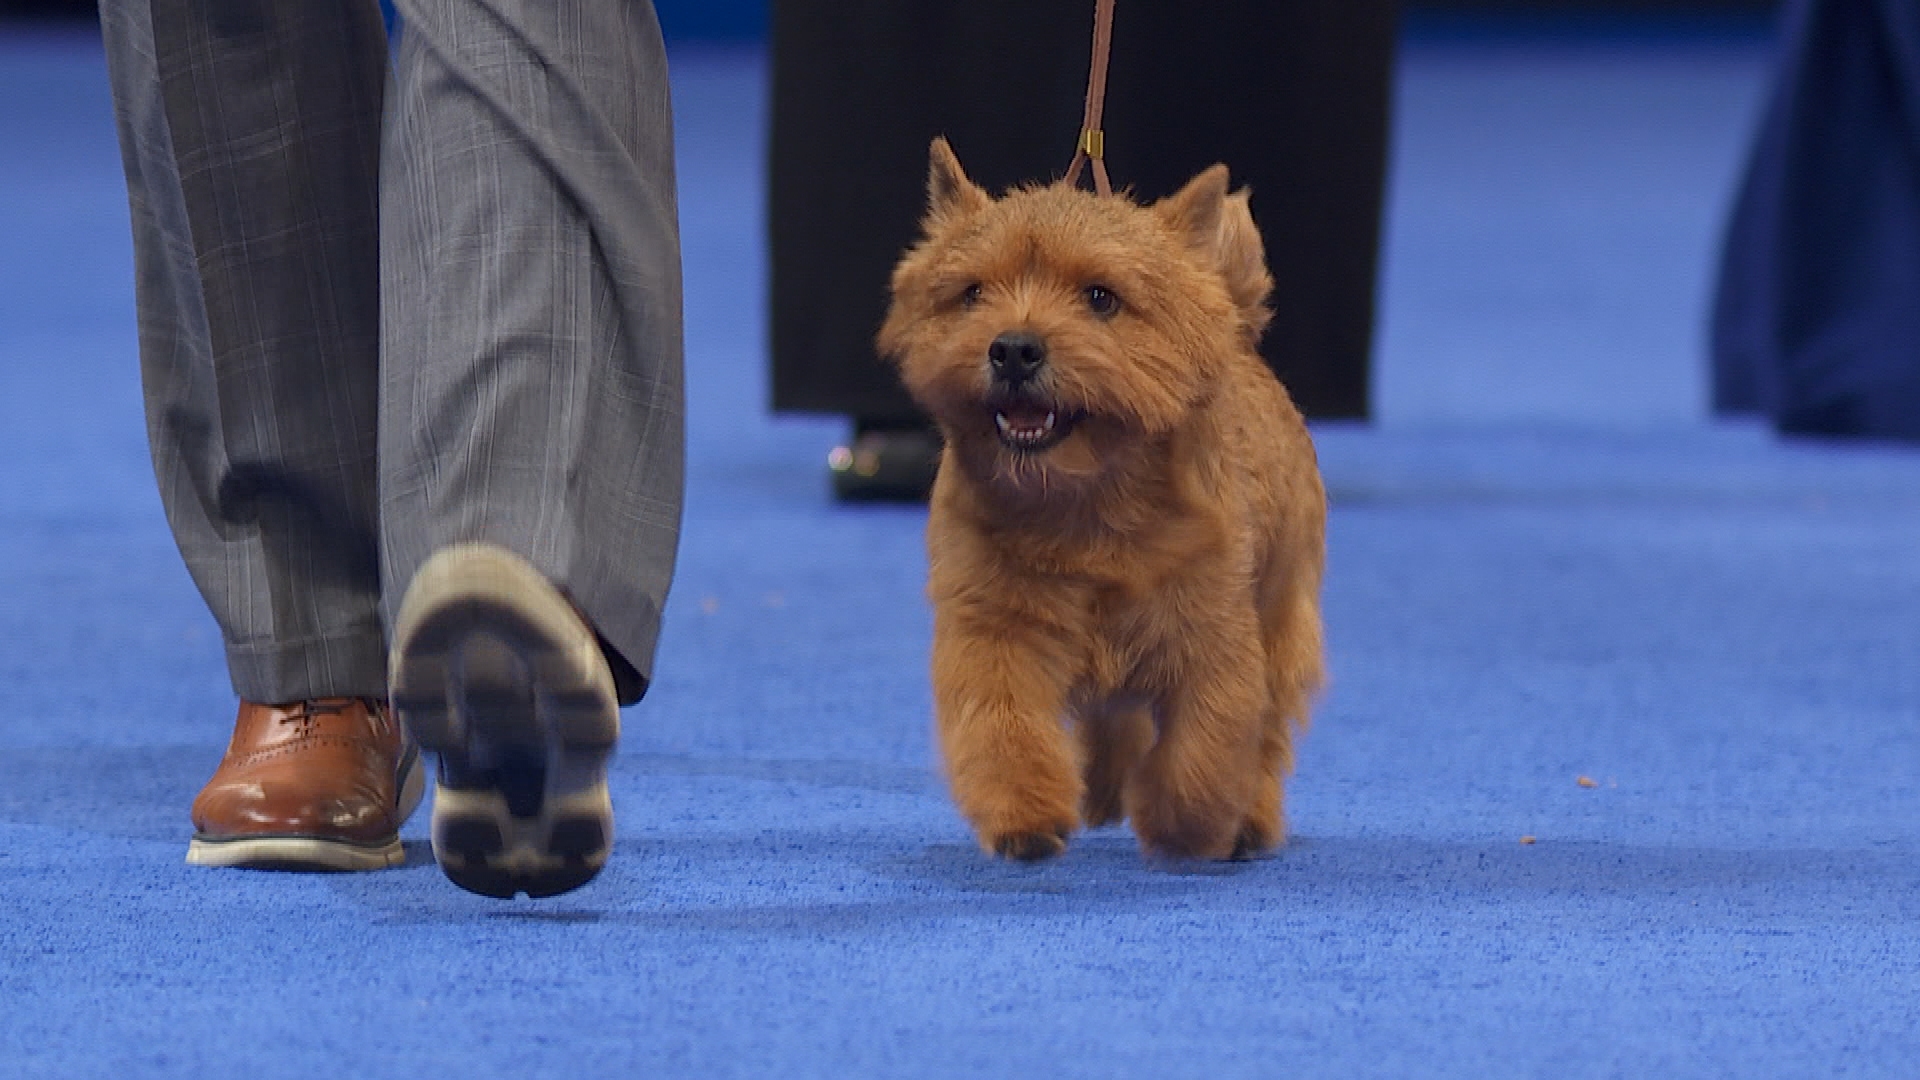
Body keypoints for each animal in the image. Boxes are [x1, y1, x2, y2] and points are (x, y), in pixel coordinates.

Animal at [879, 136, 1328, 857]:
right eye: (973, 293)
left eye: (1100, 297)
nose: (1013, 349)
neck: (1083, 501)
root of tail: (1235, 333)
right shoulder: (997, 628)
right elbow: (1002, 725)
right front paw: (1026, 815)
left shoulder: (1211, 636)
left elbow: (1205, 746)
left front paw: (1187, 825)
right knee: (1111, 717)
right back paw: (1104, 791)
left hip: (1282, 608)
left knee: (1267, 733)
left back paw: (1248, 821)